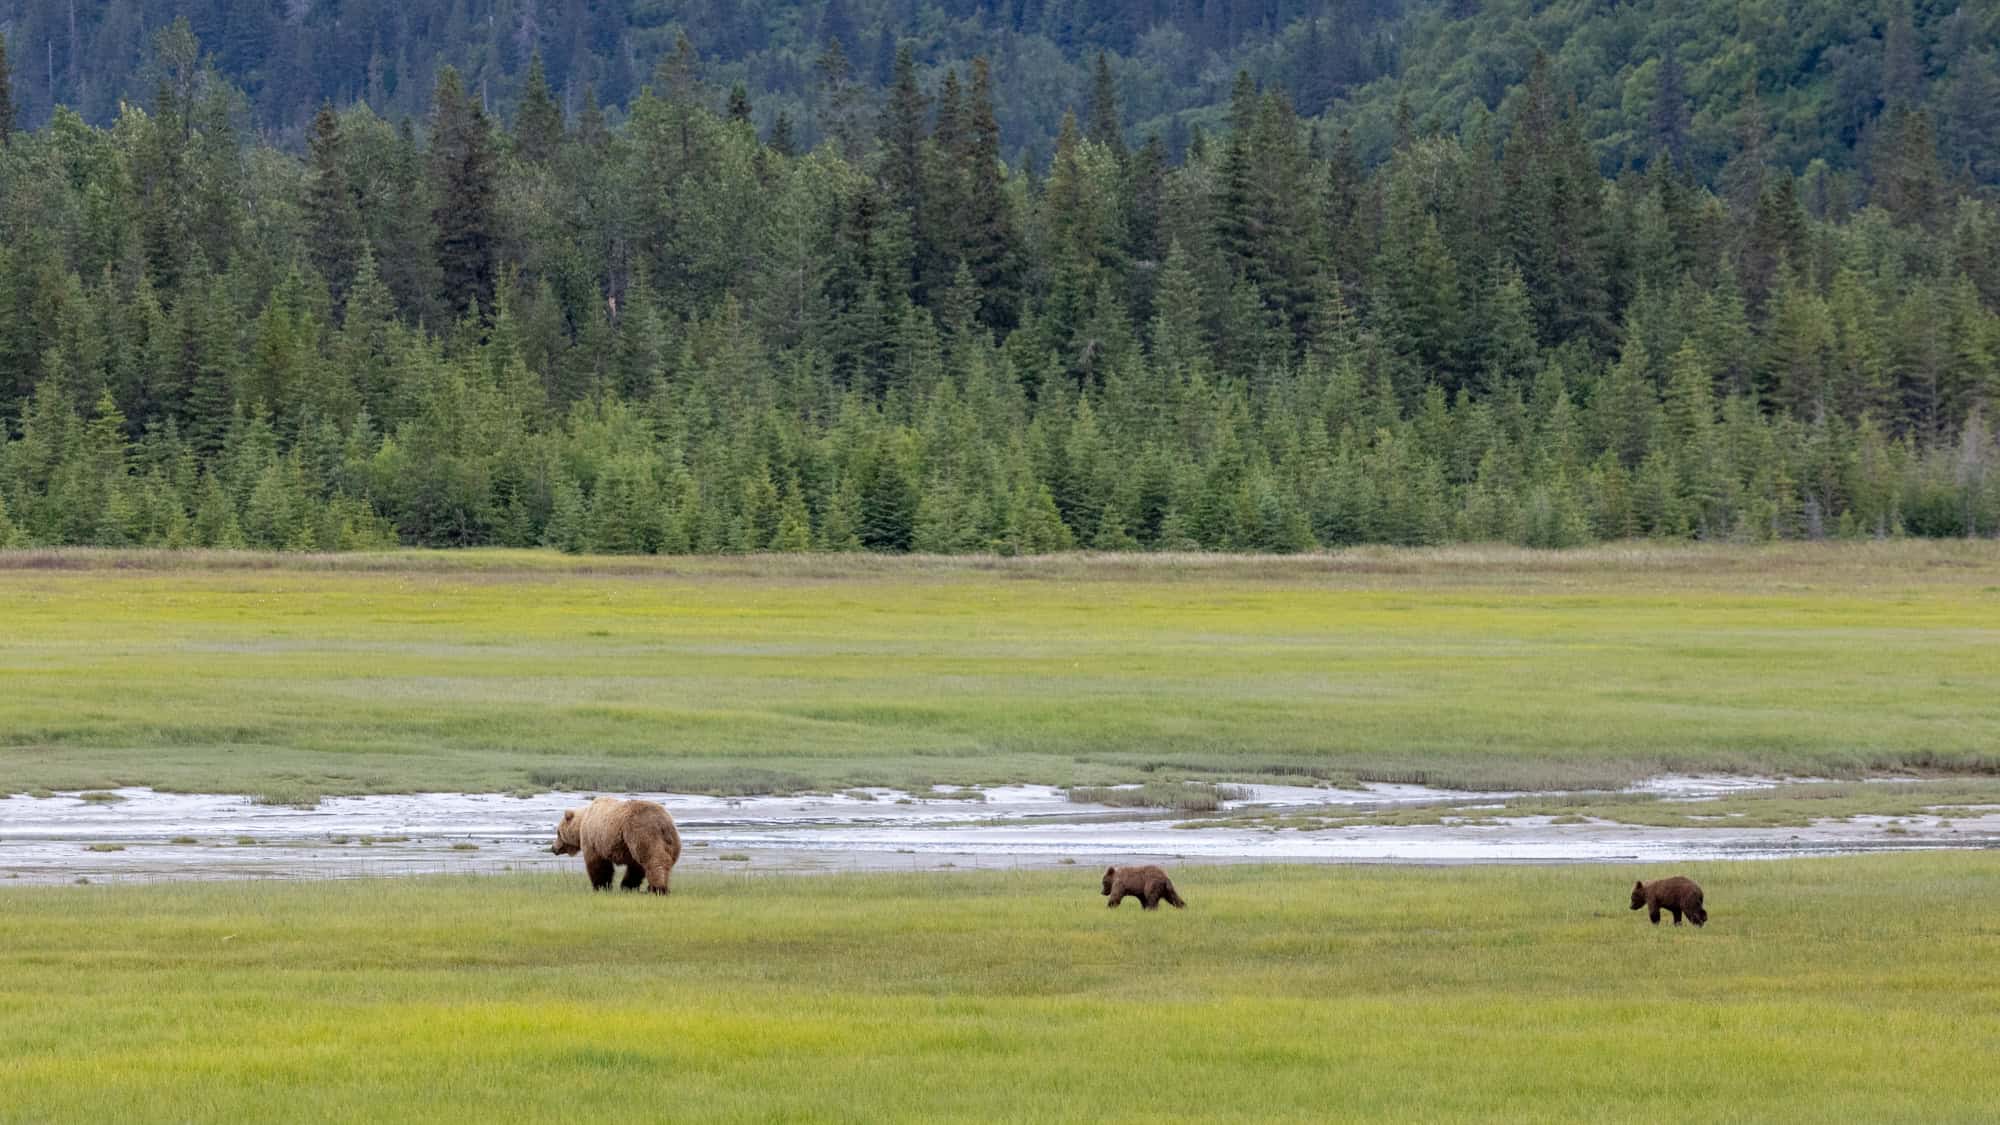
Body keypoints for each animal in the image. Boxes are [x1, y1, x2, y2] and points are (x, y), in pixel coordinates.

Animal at [551, 797, 682, 895]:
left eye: (558, 832)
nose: (553, 848)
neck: (582, 822)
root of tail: (662, 822)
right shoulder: (627, 847)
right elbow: (635, 867)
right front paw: (627, 886)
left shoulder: (593, 841)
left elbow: (597, 864)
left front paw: (601, 887)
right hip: (671, 840)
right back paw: (656, 887)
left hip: (642, 831)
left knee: (654, 858)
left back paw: (658, 888)